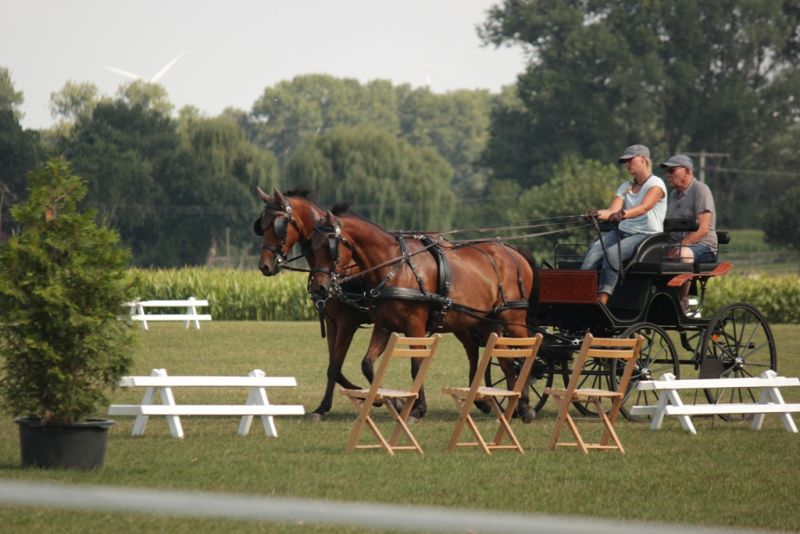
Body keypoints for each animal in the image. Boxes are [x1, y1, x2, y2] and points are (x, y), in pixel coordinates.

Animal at [299, 204, 540, 421]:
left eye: (329, 246)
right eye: (310, 247)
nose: (319, 288)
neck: (394, 268)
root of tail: (513, 252)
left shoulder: (412, 325)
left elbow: (416, 364)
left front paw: (417, 409)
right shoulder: (384, 326)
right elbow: (366, 363)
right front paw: (394, 402)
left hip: (513, 319)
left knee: (525, 356)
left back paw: (524, 407)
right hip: (484, 321)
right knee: (505, 362)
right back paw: (509, 407)